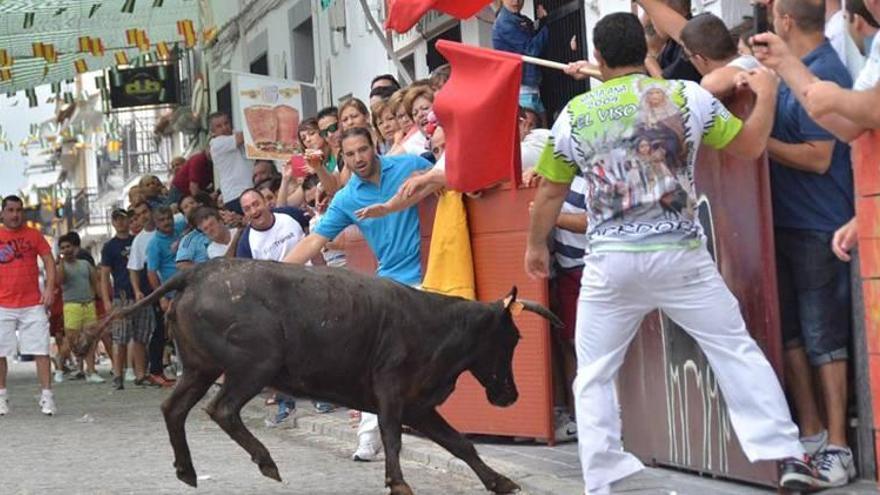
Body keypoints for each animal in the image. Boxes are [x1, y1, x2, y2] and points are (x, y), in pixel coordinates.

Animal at [86, 260, 560, 495]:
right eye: (512, 337)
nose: (510, 396)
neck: (436, 325)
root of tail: (196, 273)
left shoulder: (420, 407)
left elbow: (460, 443)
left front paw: (501, 482)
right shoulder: (393, 393)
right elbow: (392, 437)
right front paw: (399, 483)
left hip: (201, 368)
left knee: (175, 408)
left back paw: (187, 471)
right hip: (252, 366)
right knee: (221, 410)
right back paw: (266, 462)